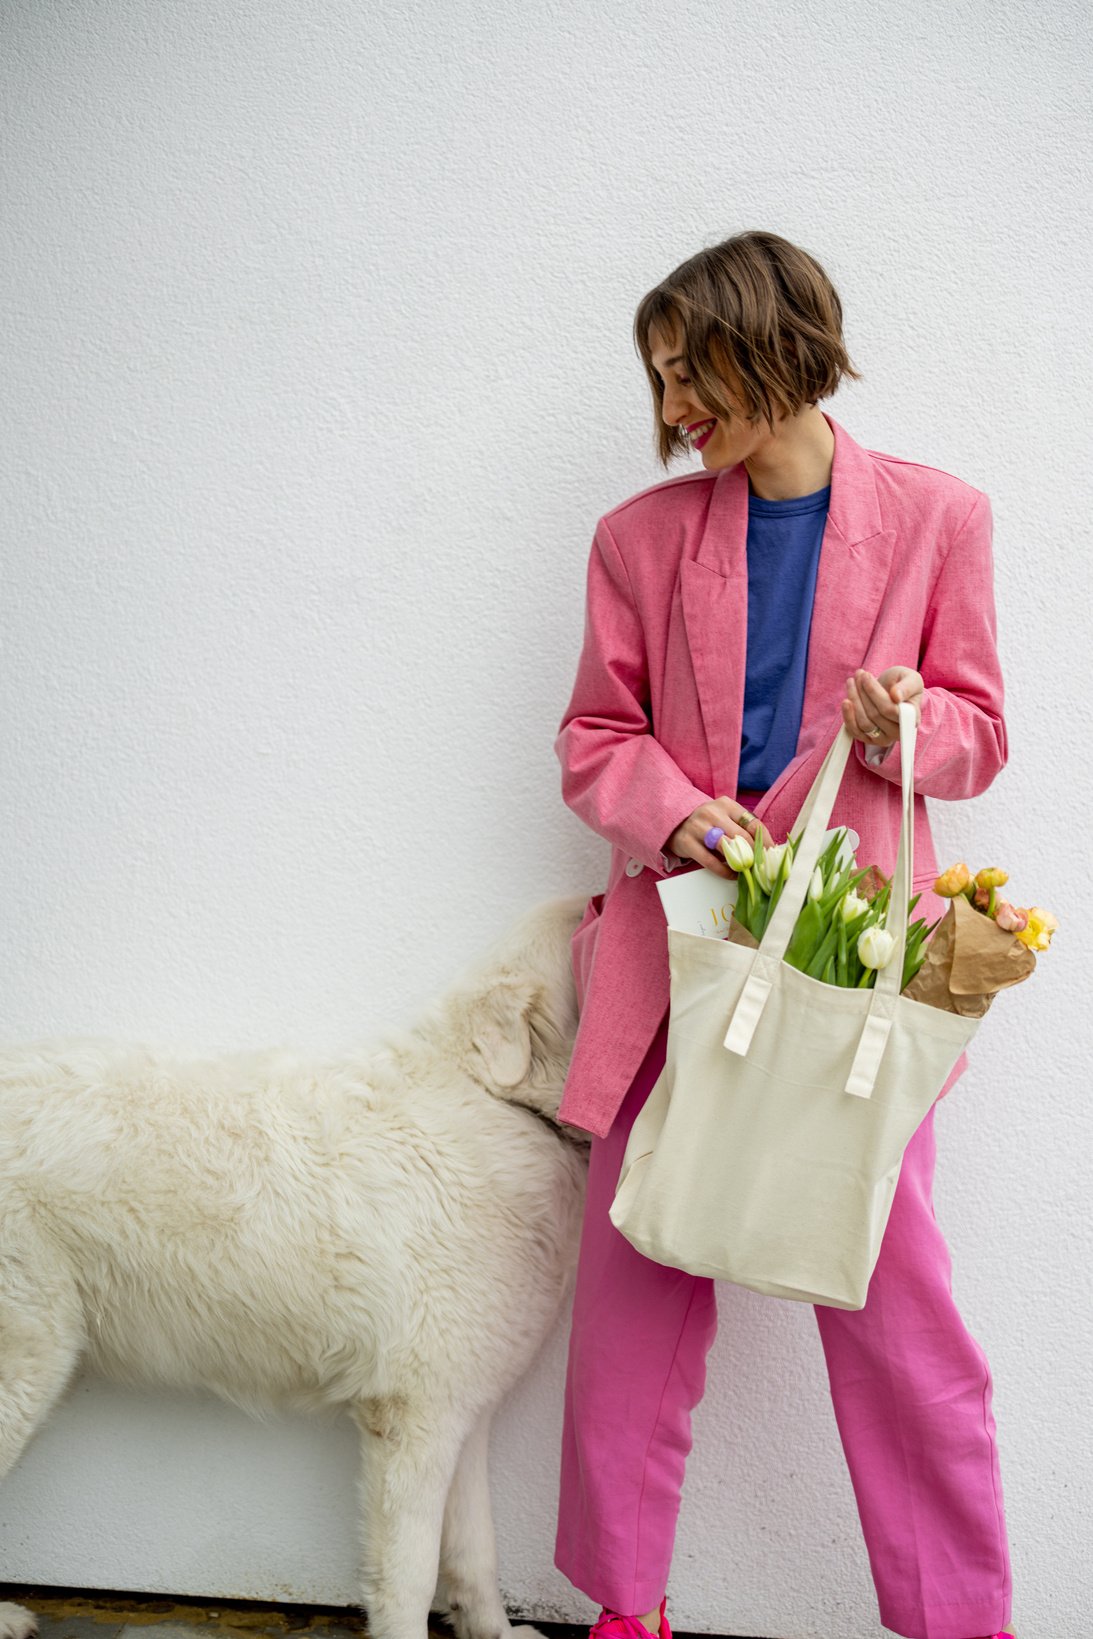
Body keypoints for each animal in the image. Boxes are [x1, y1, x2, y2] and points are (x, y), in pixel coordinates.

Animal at [0, 898, 593, 1639]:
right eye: (597, 924)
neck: (494, 1098)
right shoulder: (411, 1415)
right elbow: (409, 1573)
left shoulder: (460, 1406)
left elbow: (474, 1552)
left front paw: (494, 1631)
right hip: (25, 1363)